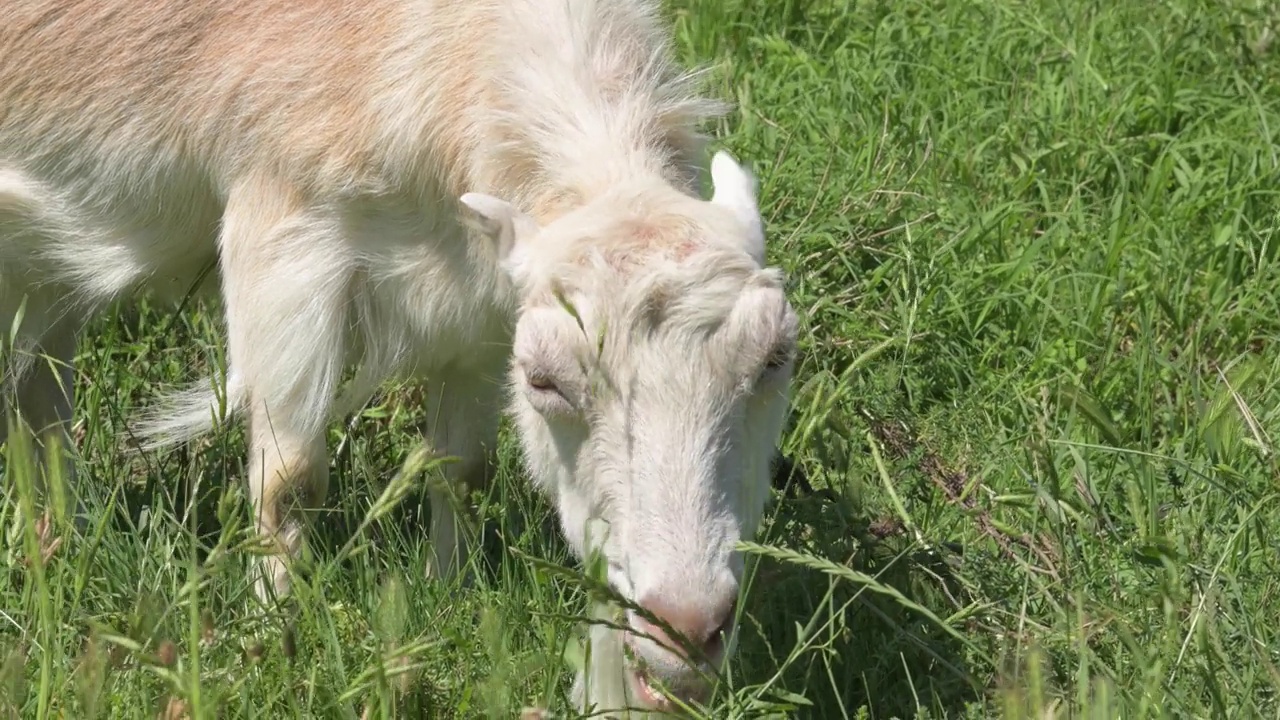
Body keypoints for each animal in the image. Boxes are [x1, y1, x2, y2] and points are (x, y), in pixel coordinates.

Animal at [2, 0, 798, 712]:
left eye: (774, 361)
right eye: (545, 382)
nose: (687, 629)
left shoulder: (477, 303)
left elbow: (462, 469)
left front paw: (449, 590)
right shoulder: (284, 231)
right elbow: (289, 476)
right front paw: (271, 631)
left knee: (41, 396)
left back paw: (62, 537)